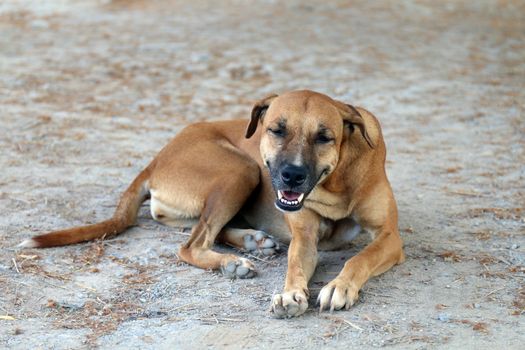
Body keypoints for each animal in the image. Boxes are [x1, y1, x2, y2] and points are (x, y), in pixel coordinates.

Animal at [19, 90, 406, 318]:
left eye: (324, 137)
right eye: (277, 130)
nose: (292, 176)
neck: (336, 181)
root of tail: (156, 159)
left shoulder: (389, 238)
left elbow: (359, 258)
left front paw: (340, 285)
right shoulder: (304, 237)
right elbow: (296, 264)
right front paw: (290, 294)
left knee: (203, 231)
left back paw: (251, 241)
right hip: (242, 169)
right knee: (191, 244)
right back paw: (232, 262)